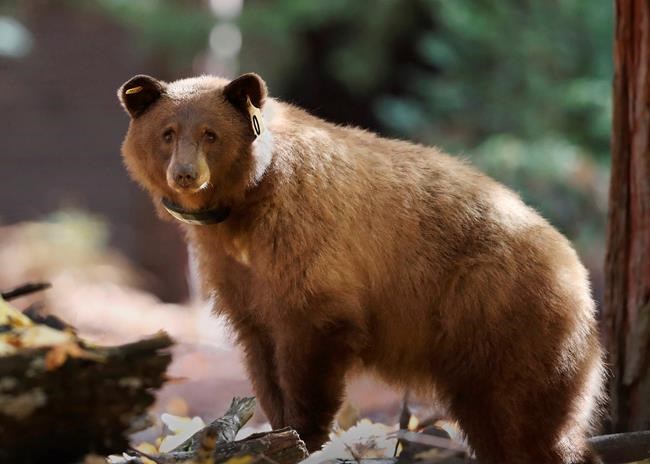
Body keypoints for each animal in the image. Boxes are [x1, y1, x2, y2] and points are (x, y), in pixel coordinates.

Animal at [117, 73, 605, 464]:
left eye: (210, 134)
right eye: (167, 133)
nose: (185, 174)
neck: (247, 204)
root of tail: (577, 274)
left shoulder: (304, 241)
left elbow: (313, 334)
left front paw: (302, 433)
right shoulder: (236, 273)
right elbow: (259, 347)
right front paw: (271, 425)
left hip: (503, 319)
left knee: (531, 421)